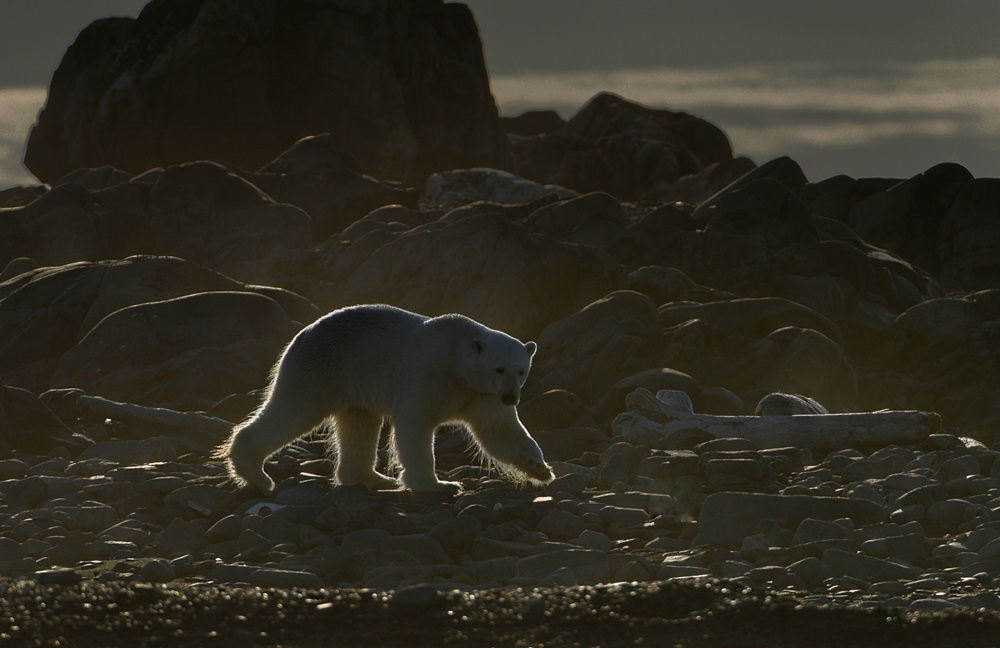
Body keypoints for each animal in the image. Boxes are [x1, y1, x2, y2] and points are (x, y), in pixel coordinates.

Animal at [217, 302, 556, 492]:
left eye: (521, 370)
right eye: (500, 368)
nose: (511, 398)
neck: (455, 357)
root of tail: (301, 334)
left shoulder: (479, 392)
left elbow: (499, 431)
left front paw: (540, 469)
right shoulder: (427, 373)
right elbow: (414, 425)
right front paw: (439, 485)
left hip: (352, 381)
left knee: (359, 425)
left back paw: (374, 477)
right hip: (320, 368)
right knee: (294, 411)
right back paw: (256, 475)